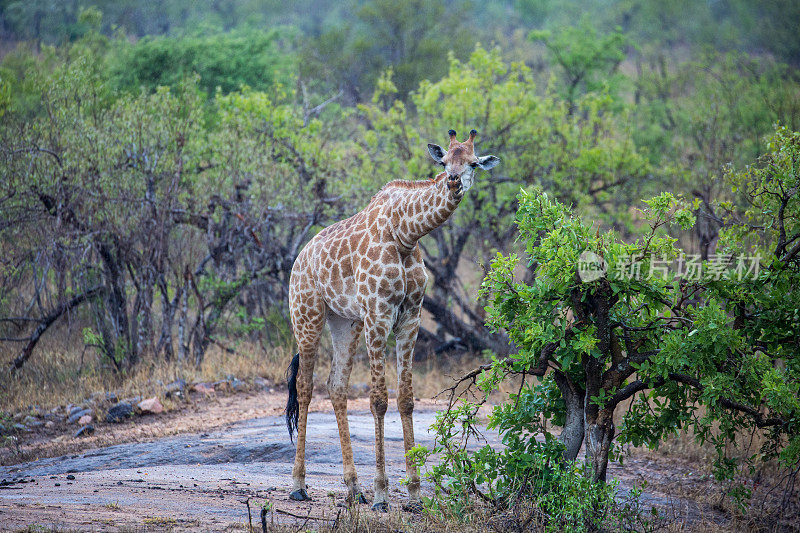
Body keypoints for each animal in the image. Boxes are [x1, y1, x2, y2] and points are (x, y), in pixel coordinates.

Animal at [284, 127, 496, 510]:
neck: (406, 234)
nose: (454, 181)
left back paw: (354, 488)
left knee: (336, 386)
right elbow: (379, 400)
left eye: (473, 163)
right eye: (444, 162)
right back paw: (299, 484)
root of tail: (299, 258)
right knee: (305, 387)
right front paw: (383, 493)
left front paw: (413, 494)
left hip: (345, 322)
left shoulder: (410, 318)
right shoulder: (379, 313)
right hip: (307, 315)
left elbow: (406, 400)